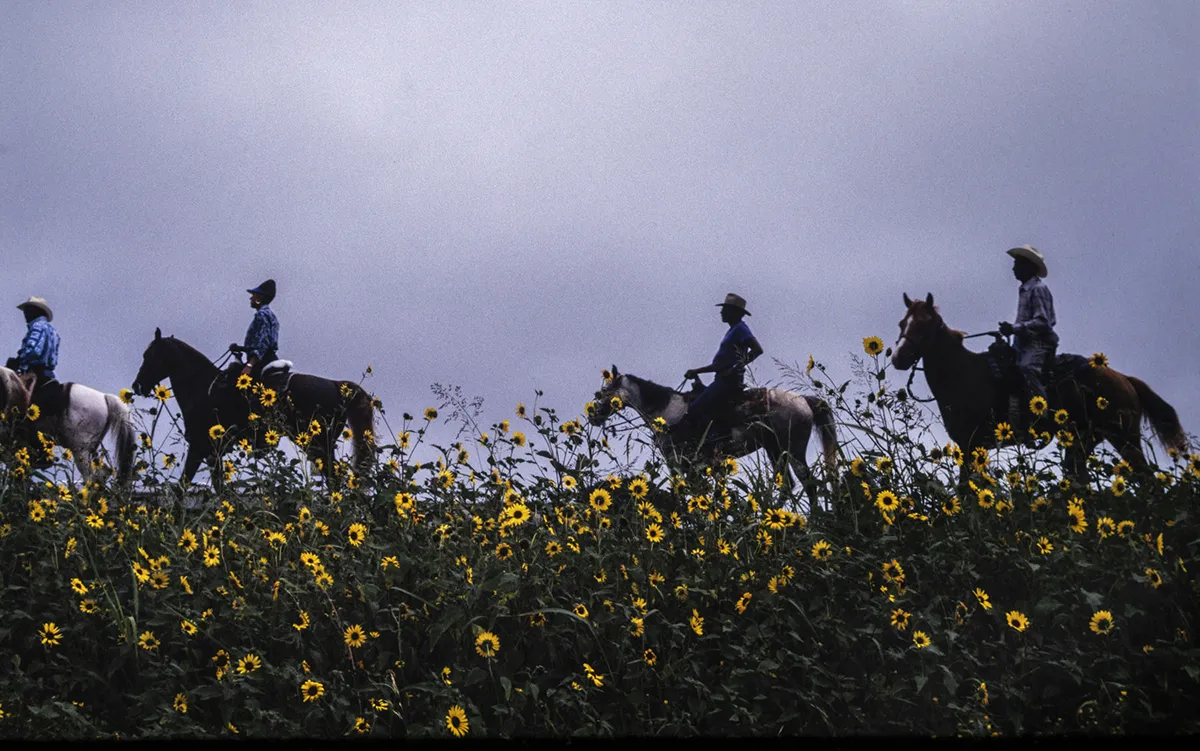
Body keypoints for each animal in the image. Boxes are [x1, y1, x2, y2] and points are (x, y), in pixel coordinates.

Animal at [130, 326, 374, 484]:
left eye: (149, 355)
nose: (137, 385)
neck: (202, 387)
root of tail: (337, 385)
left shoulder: (200, 447)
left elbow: (182, 488)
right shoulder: (212, 454)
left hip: (317, 444)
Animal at [585, 364, 840, 508]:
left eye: (606, 391)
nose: (593, 416)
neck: (668, 413)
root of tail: (803, 401)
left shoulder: (681, 462)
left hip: (792, 448)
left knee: (808, 483)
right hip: (775, 450)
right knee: (789, 485)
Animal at [892, 289, 1180, 477]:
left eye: (925, 325)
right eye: (902, 323)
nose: (898, 358)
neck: (963, 373)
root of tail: (1125, 380)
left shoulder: (970, 443)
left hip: (1125, 438)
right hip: (1083, 442)